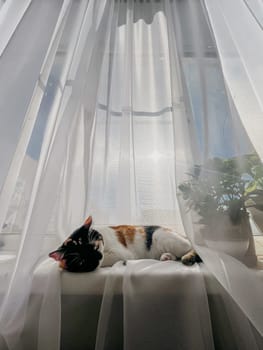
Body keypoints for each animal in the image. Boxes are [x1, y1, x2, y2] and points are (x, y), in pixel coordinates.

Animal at [49, 215, 200, 272]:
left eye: (95, 247)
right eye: (82, 260)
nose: (98, 257)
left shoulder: (122, 253)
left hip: (164, 237)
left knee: (192, 249)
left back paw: (187, 257)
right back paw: (166, 257)